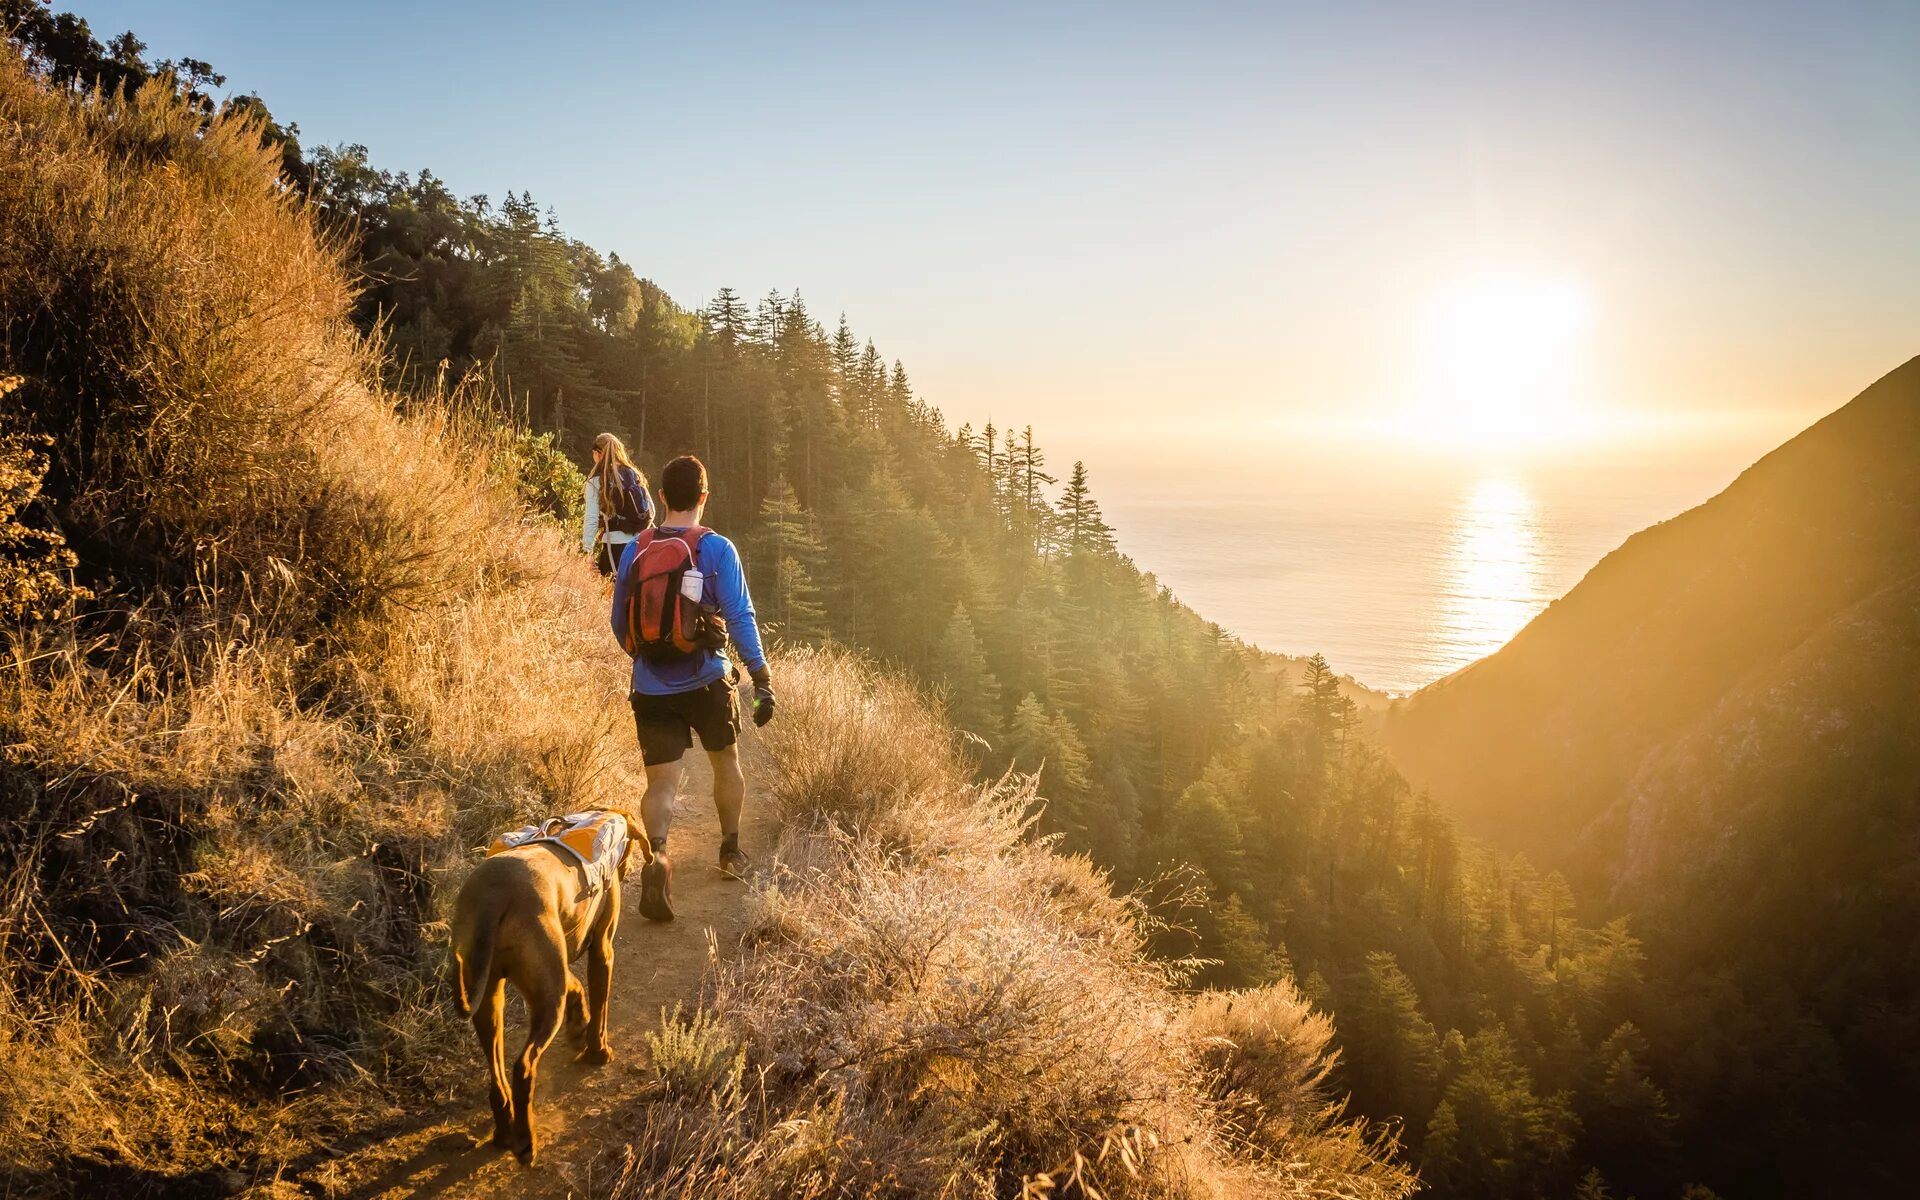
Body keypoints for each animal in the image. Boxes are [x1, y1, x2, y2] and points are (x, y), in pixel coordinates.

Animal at [447, 806, 645, 1159]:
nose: (629, 869)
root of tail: (494, 894)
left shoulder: (555, 964)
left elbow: (575, 986)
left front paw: (578, 1025)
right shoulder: (602, 950)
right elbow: (600, 1007)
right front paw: (598, 1050)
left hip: (491, 995)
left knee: (497, 1077)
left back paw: (504, 1131)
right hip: (547, 1001)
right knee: (523, 1067)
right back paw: (525, 1141)